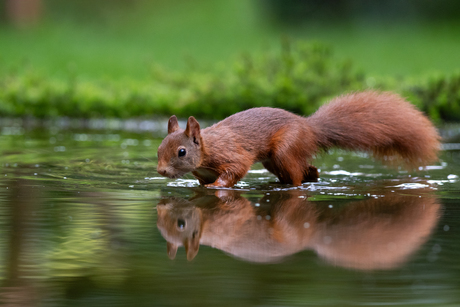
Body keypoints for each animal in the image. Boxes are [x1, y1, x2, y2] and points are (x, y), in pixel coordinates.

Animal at [156, 91, 440, 188]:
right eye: (158, 149)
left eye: (181, 152)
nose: (160, 171)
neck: (207, 150)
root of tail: (309, 128)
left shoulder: (232, 154)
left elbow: (235, 169)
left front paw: (218, 186)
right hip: (273, 160)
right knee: (308, 169)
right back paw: (310, 176)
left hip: (285, 148)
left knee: (295, 176)